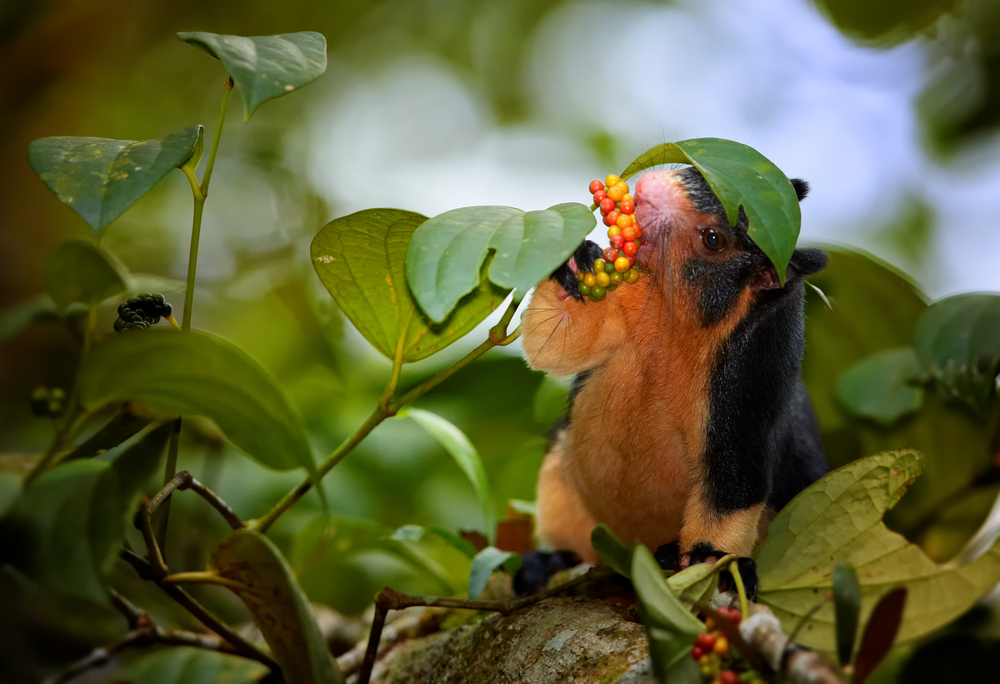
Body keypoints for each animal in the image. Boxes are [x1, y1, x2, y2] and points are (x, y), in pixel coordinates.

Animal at [516, 166, 828, 600]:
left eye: (713, 239)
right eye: (701, 169)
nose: (648, 191)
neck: (673, 318)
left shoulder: (757, 371)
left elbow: (734, 479)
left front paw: (711, 559)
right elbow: (555, 343)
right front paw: (575, 261)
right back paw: (549, 562)